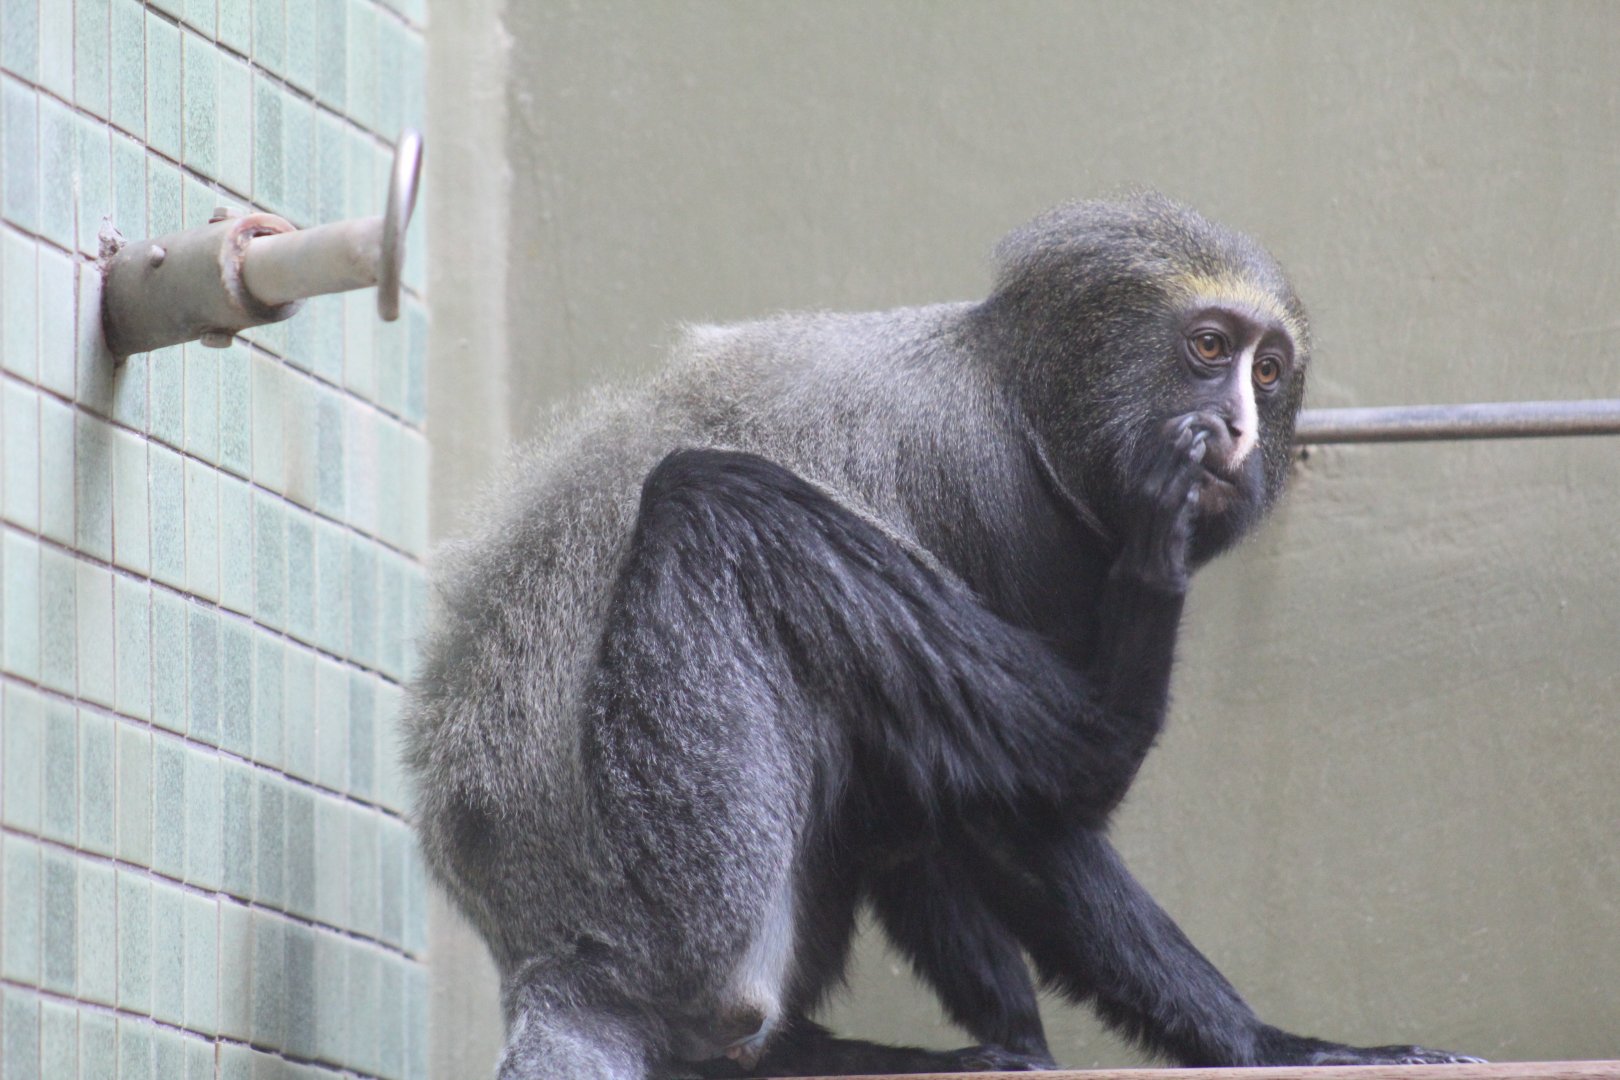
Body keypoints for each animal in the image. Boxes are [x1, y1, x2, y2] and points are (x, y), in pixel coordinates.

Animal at [403, 194, 1481, 1079]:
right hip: (689, 891)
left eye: (1269, 370)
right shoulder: (1001, 511)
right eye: (1211, 349)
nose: (1240, 429)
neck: (1019, 395)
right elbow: (1022, 809)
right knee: (711, 503)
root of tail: (548, 963)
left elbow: (945, 812)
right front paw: (1265, 1044)